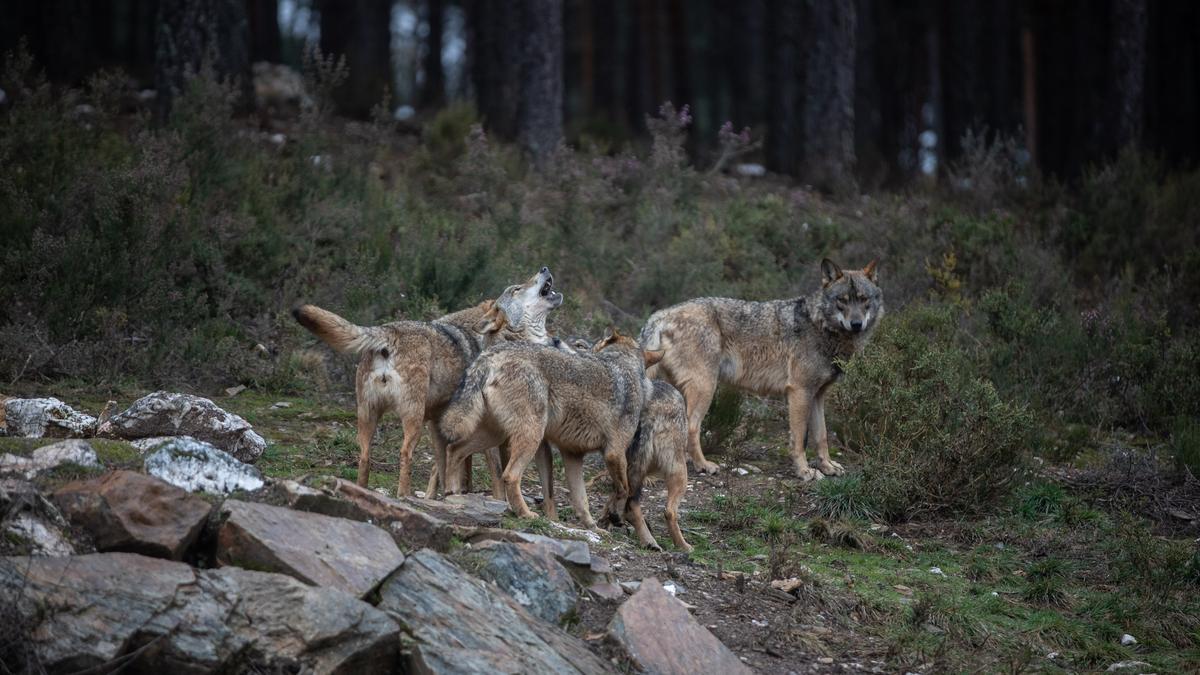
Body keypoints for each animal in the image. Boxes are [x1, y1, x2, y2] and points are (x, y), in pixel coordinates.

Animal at [297, 266, 564, 494]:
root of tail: (389, 331)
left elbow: (447, 467)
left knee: (364, 458)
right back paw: (403, 496)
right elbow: (493, 475)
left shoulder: (441, 425)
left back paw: (362, 490)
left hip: (368, 417)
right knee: (405, 454)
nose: (544, 268)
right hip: (412, 418)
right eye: (517, 288)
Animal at [436, 329, 657, 523]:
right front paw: (614, 516)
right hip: (529, 436)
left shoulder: (572, 454)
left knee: (453, 449)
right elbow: (624, 489)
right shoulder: (614, 453)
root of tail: (492, 354)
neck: (624, 364)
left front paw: (594, 528)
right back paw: (525, 514)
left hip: (494, 435)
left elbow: (581, 501)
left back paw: (451, 494)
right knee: (509, 475)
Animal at [638, 255, 883, 478]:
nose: (856, 324)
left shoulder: (817, 395)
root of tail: (660, 315)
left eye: (863, 299)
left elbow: (821, 436)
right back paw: (703, 465)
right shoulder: (799, 392)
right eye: (842, 300)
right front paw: (804, 472)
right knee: (691, 428)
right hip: (705, 388)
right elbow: (799, 439)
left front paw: (828, 466)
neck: (820, 326)